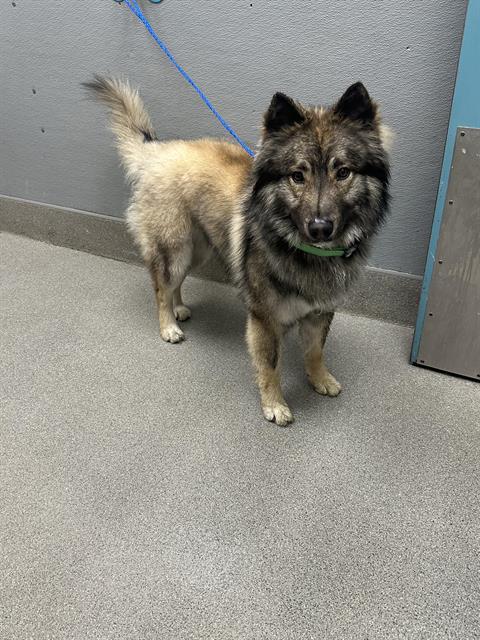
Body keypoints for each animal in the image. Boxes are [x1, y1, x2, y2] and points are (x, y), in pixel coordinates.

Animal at [85, 75, 390, 424]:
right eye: (297, 176)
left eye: (343, 172)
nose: (319, 227)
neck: (305, 251)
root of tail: (156, 150)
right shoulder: (265, 319)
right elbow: (270, 366)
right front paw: (274, 405)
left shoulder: (319, 312)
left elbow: (315, 352)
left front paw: (320, 379)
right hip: (174, 250)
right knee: (162, 288)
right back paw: (169, 325)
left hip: (198, 250)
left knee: (176, 285)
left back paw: (179, 309)